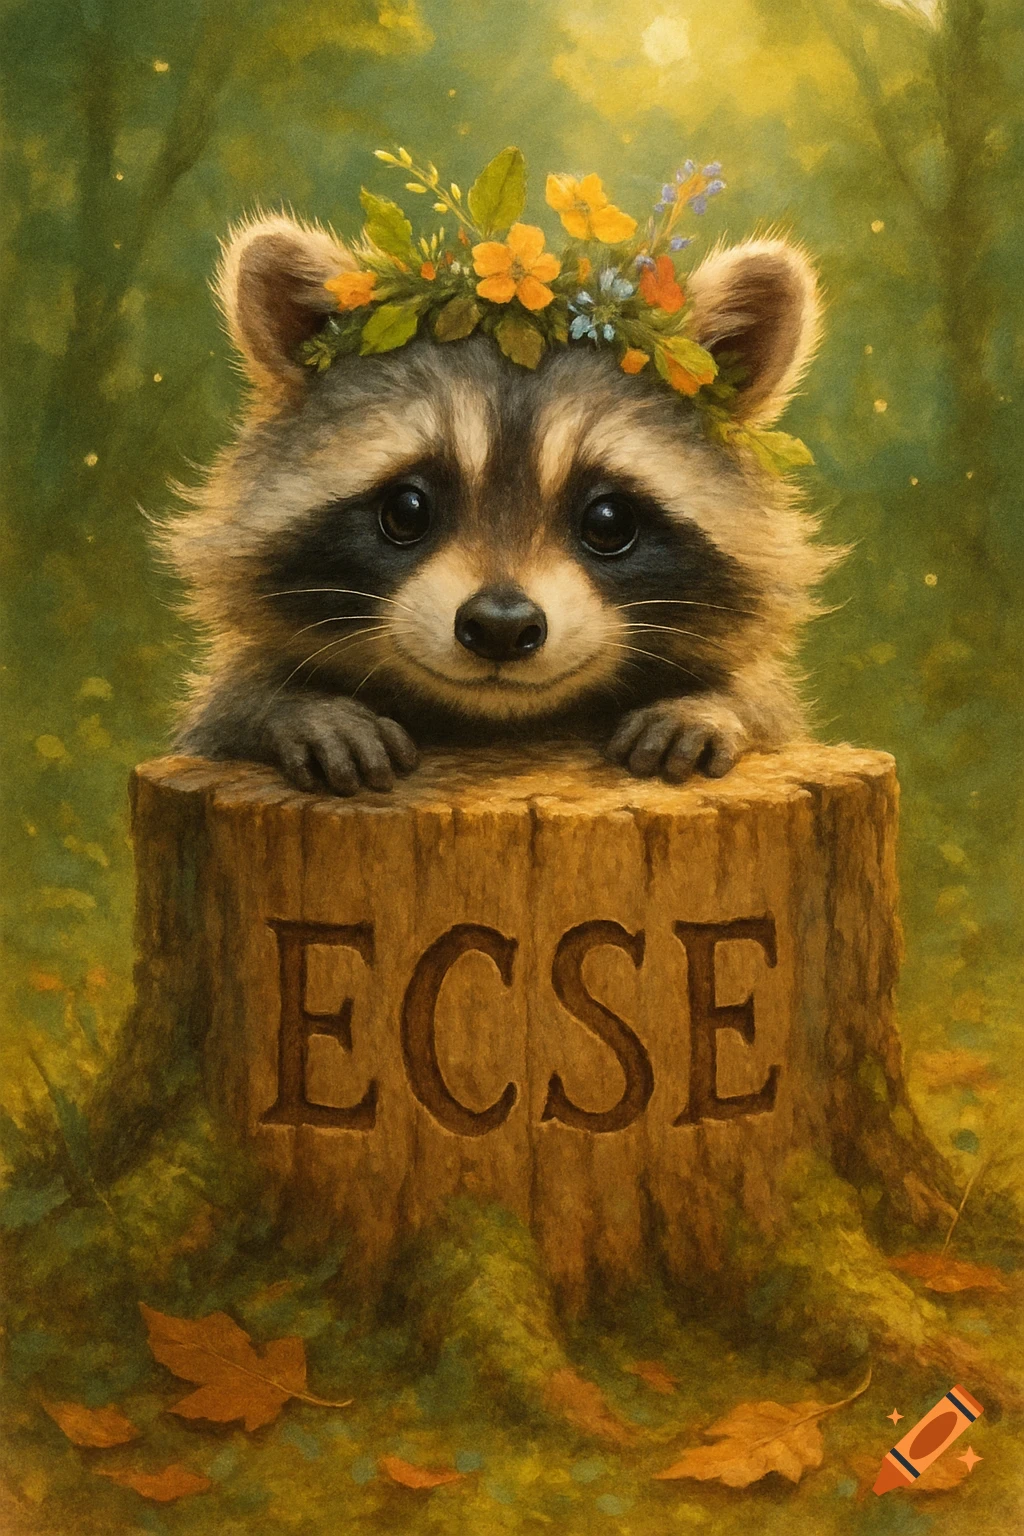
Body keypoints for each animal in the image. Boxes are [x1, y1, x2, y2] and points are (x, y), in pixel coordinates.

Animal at [165, 214, 835, 795]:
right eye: (406, 510)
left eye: (609, 521)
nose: (500, 626)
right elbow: (228, 710)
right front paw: (292, 708)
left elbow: (767, 709)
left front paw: (715, 707)